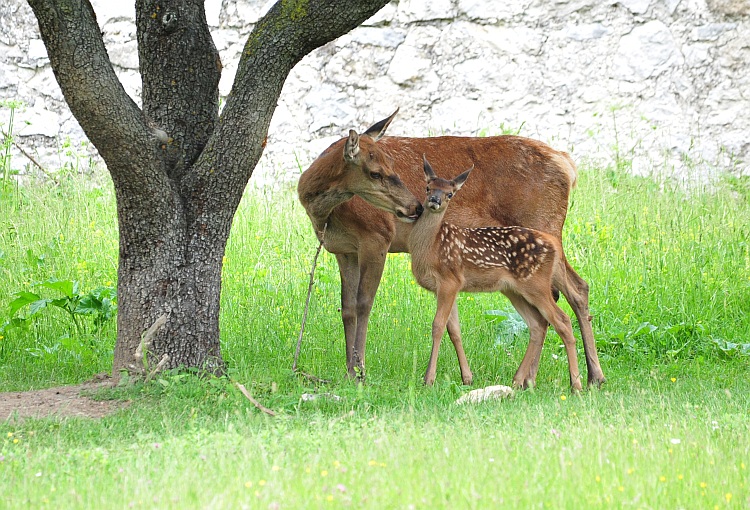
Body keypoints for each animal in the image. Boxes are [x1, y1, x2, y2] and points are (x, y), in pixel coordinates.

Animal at [408, 155, 584, 390]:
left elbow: (437, 325)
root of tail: (554, 245)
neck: (431, 247)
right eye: (428, 187)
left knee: (562, 320)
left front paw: (429, 378)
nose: (435, 200)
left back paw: (576, 384)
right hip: (513, 290)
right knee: (537, 324)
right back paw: (519, 380)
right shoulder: (447, 287)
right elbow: (454, 329)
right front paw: (467, 377)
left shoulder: (449, 280)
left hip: (536, 284)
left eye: (450, 193)